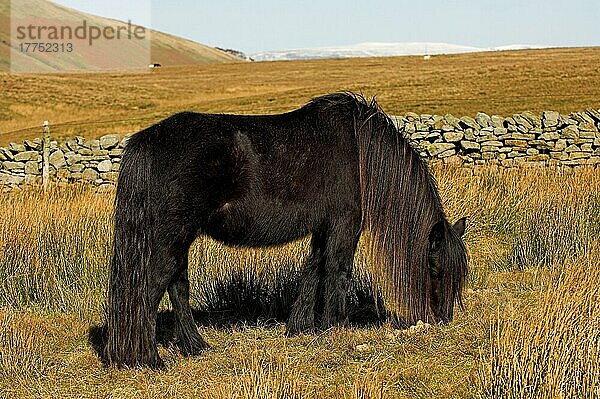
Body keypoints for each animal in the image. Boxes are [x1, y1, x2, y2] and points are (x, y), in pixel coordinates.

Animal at [104, 93, 468, 368]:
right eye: (435, 269)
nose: (444, 319)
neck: (359, 151)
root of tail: (145, 141)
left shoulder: (323, 228)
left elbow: (313, 270)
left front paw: (300, 327)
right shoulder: (344, 224)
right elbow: (337, 271)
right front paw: (334, 327)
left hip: (179, 239)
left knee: (176, 286)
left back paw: (195, 346)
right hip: (171, 236)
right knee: (148, 289)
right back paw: (147, 358)